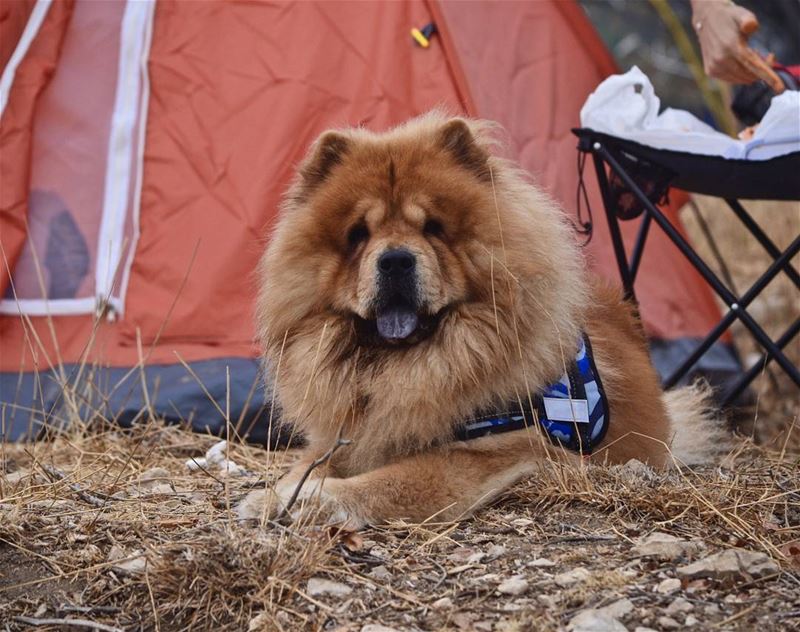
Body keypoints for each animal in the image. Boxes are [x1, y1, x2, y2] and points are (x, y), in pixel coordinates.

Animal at [239, 111, 724, 524]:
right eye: (359, 234)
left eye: (433, 227)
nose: (395, 260)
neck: (406, 368)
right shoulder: (352, 435)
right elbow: (310, 463)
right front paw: (273, 495)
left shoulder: (497, 450)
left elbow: (391, 479)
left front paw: (312, 500)